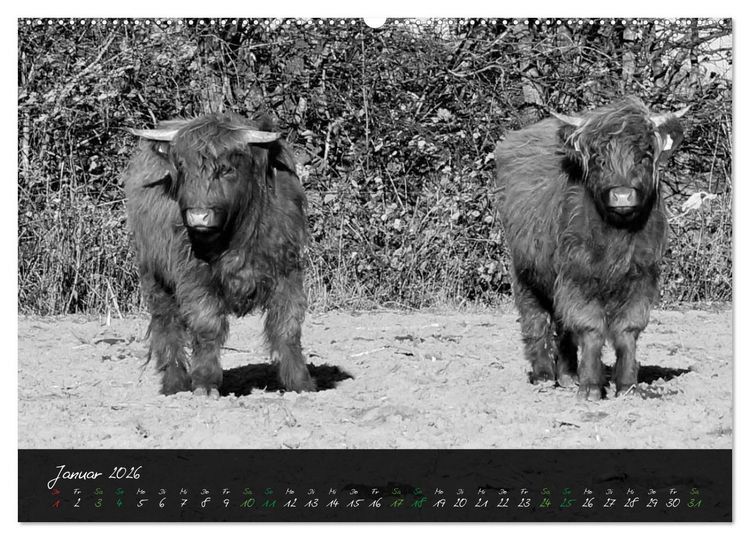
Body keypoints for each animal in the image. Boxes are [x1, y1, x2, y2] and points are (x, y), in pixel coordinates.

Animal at [123, 112, 316, 397]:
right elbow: (207, 325)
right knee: (167, 325)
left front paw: (301, 383)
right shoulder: (195, 277)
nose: (198, 216)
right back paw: (174, 384)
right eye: (181, 168)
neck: (237, 235)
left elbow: (287, 325)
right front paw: (205, 383)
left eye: (227, 169)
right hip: (154, 278)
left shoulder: (287, 271)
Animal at [494, 97, 688, 400]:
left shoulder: (642, 276)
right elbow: (590, 328)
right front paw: (590, 387)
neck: (617, 237)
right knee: (535, 318)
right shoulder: (579, 276)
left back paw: (567, 375)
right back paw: (543, 375)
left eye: (644, 156)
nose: (622, 195)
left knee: (562, 324)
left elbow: (628, 330)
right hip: (525, 271)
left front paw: (627, 386)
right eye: (599, 159)